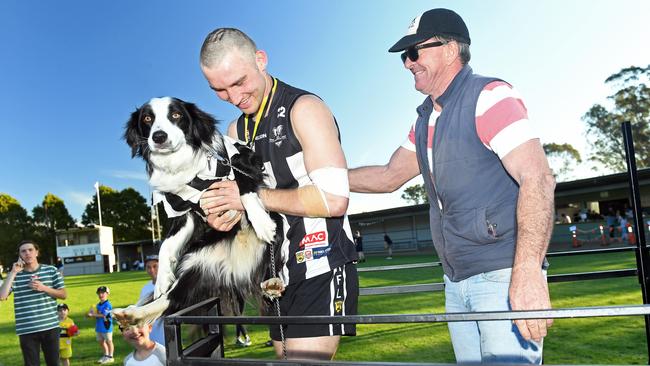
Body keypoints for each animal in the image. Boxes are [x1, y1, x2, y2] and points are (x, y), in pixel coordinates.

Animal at [116, 97, 280, 326]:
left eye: (176, 115)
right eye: (147, 119)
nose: (159, 137)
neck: (182, 164)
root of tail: (236, 269)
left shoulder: (242, 160)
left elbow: (242, 186)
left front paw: (261, 223)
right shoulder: (181, 209)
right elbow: (165, 245)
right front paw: (161, 279)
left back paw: (273, 284)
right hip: (195, 262)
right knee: (172, 299)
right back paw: (132, 314)